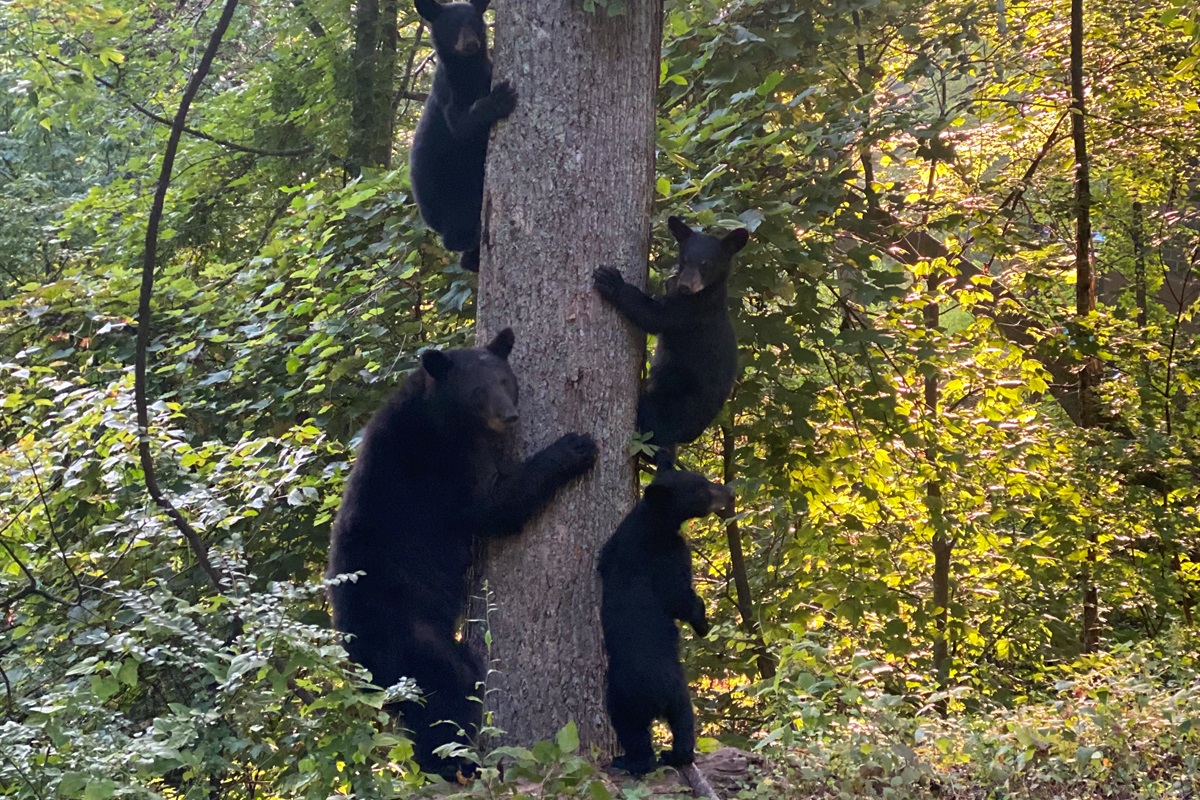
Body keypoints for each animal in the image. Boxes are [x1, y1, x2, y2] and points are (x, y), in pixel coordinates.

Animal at [325, 328, 597, 780]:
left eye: (505, 381)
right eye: (477, 391)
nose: (509, 416)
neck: (442, 418)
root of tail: (359, 663)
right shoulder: (444, 469)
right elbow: (495, 505)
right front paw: (575, 446)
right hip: (412, 639)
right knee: (451, 692)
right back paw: (460, 763)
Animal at [410, 0, 516, 273]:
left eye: (475, 23)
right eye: (452, 25)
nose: (470, 43)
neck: (468, 71)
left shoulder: (486, 72)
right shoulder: (448, 91)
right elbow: (460, 125)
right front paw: (497, 100)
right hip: (447, 193)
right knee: (458, 230)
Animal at [593, 216, 749, 467]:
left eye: (706, 264)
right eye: (685, 260)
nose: (686, 285)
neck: (705, 292)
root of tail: (692, 432)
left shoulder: (690, 312)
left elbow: (654, 316)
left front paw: (612, 282)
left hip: (676, 405)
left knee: (654, 422)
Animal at [598, 468, 734, 776]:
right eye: (703, 490)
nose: (730, 492)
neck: (651, 521)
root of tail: (653, 697)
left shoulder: (616, 544)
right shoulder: (667, 553)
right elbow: (678, 596)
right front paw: (701, 621)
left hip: (642, 698)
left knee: (655, 727)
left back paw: (649, 758)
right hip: (653, 690)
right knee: (670, 722)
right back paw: (659, 757)